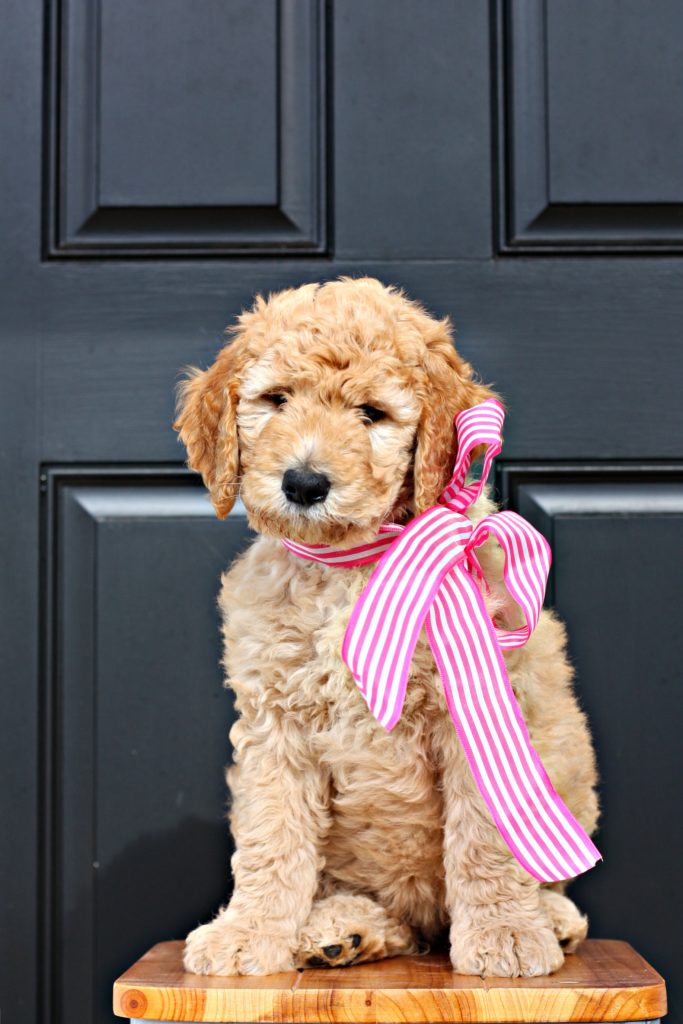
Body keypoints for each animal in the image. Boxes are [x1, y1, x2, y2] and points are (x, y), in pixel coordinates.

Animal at [175, 276, 598, 978]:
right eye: (277, 400)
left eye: (371, 414)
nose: (303, 482)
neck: (355, 565)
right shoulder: (274, 724)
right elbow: (271, 836)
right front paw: (247, 933)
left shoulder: (478, 709)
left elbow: (486, 836)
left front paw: (506, 933)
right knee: (389, 914)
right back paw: (344, 928)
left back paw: (550, 919)